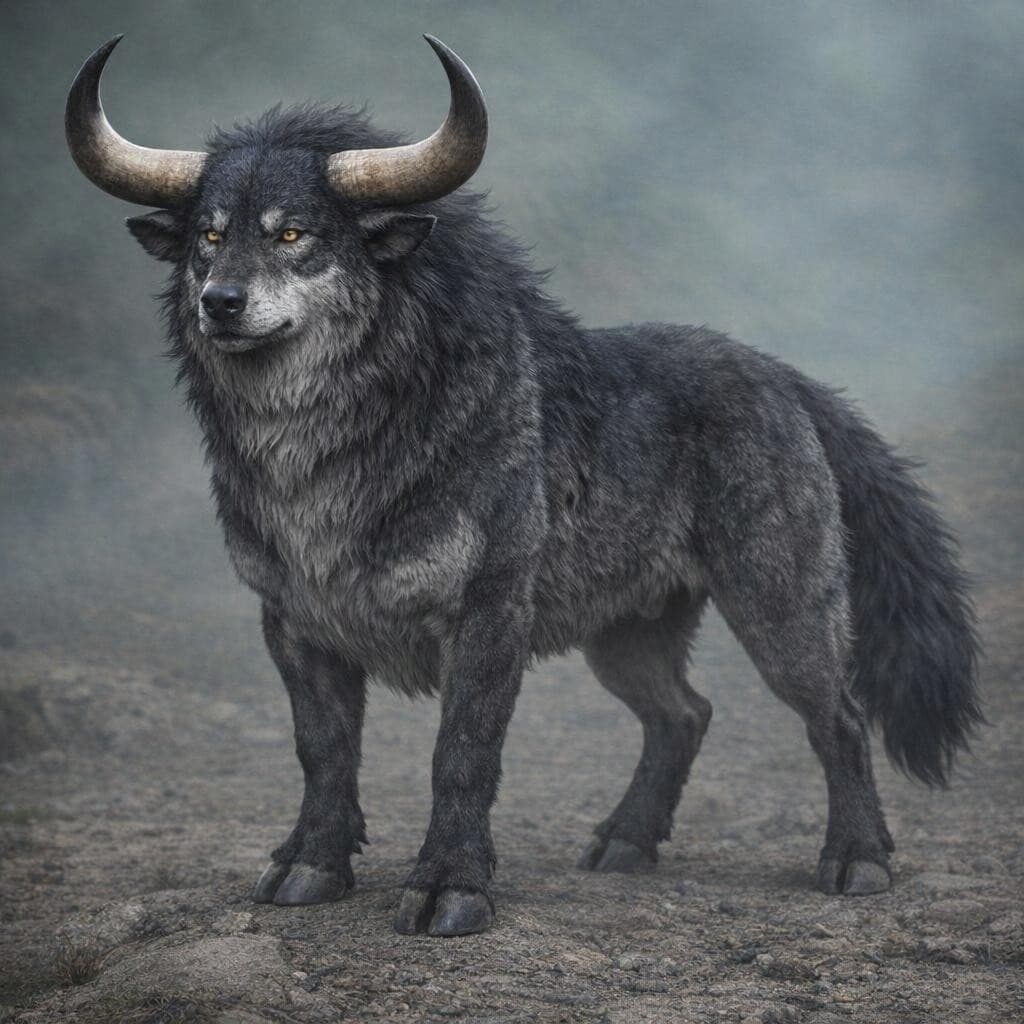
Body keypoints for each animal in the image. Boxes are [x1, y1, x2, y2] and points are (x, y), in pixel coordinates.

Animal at [66, 35, 981, 936]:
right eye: (209, 237)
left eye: (292, 233)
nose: (220, 302)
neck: (326, 459)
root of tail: (785, 376)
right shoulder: (292, 623)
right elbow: (322, 751)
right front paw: (311, 865)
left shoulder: (487, 616)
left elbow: (461, 755)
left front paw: (450, 887)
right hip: (625, 641)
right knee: (686, 714)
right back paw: (624, 843)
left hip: (777, 617)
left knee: (840, 718)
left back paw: (856, 860)